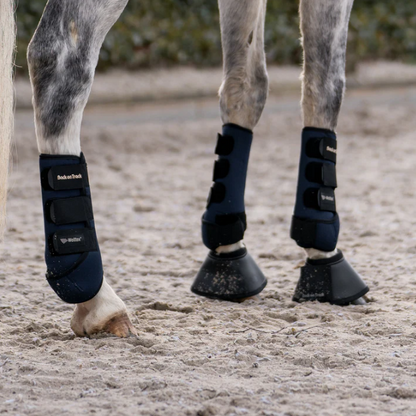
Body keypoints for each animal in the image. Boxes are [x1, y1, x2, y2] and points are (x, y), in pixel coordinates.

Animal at [0, 0, 368, 338]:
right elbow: (326, 86)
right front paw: (323, 250)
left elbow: (246, 85)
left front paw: (227, 249)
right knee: (59, 58)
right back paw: (98, 299)